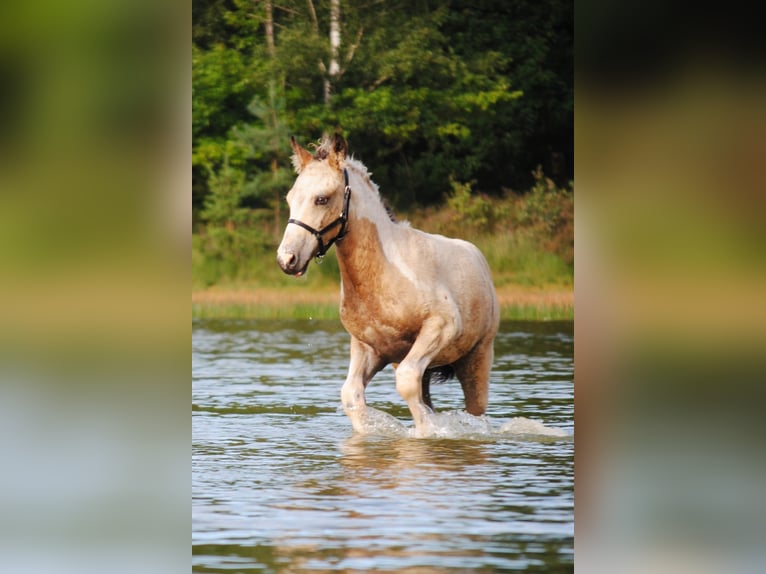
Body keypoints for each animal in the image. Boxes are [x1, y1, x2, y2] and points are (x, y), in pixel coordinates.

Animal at [277, 134, 499, 433]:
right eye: (290, 198)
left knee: (475, 410)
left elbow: (406, 383)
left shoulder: (442, 326)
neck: (381, 277)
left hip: (476, 359)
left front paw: (429, 433)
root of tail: (477, 257)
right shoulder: (370, 349)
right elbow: (352, 395)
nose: (287, 259)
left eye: (321, 199)